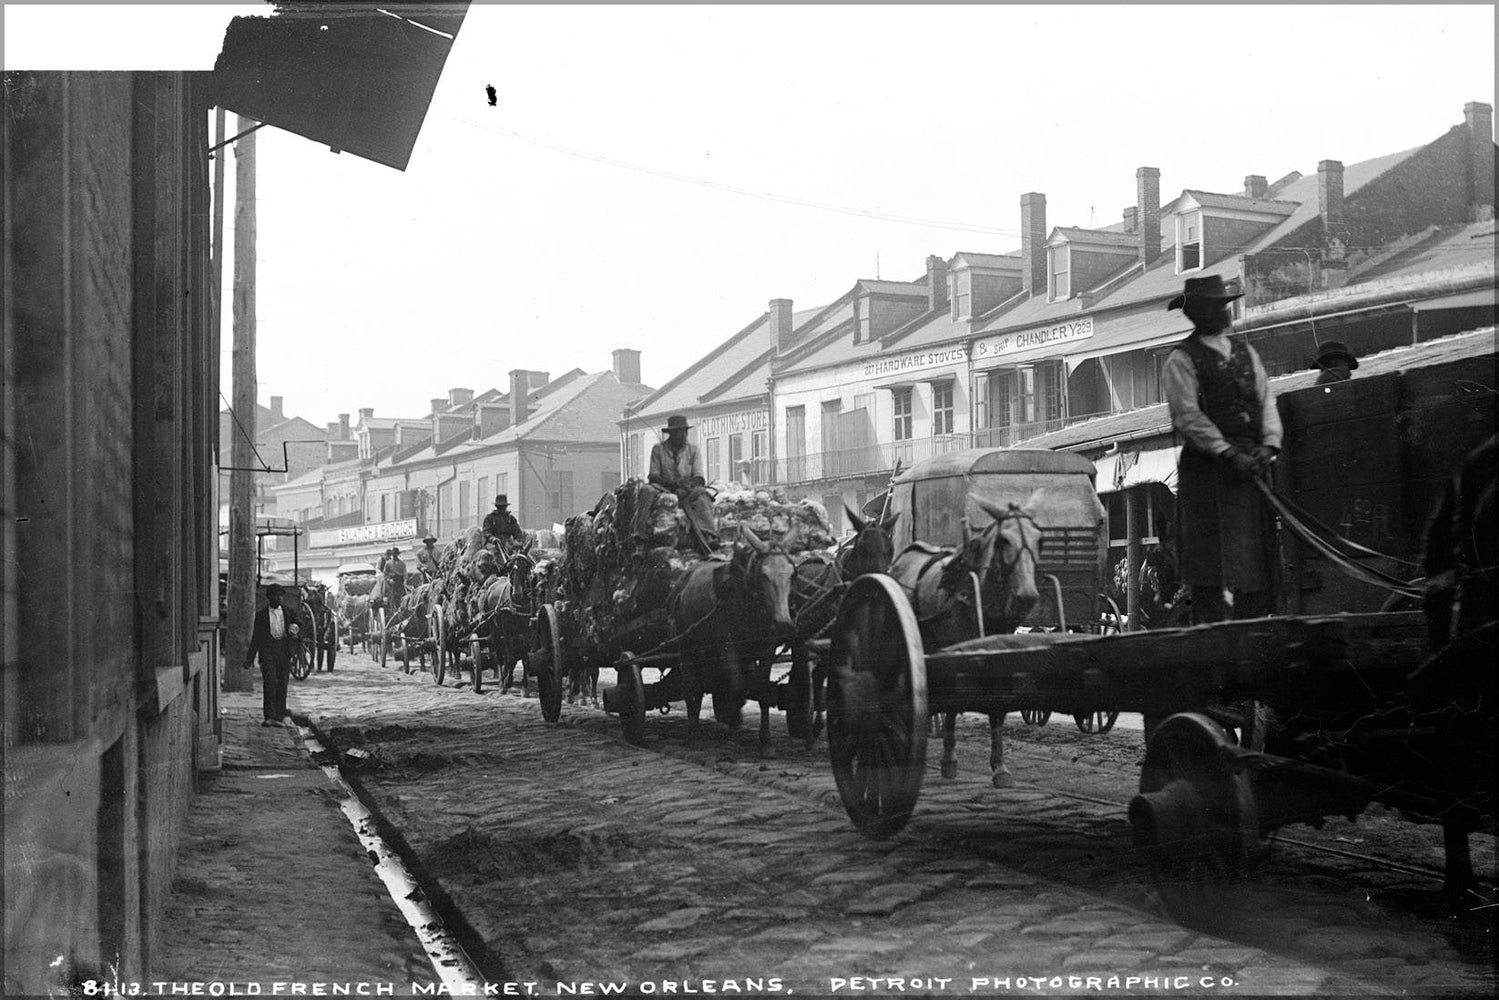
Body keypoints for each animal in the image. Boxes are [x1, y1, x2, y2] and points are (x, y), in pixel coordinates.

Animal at [671, 530, 803, 749]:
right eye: (763, 574)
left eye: (793, 574)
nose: (784, 623)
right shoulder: (727, 644)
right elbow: (736, 686)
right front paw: (732, 727)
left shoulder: (767, 647)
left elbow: (762, 690)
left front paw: (766, 741)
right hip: (687, 645)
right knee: (692, 688)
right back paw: (693, 733)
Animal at [887, 491, 1043, 791]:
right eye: (1004, 541)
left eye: (1039, 539)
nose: (1027, 596)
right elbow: (952, 702)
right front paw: (948, 759)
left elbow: (997, 709)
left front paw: (1000, 767)